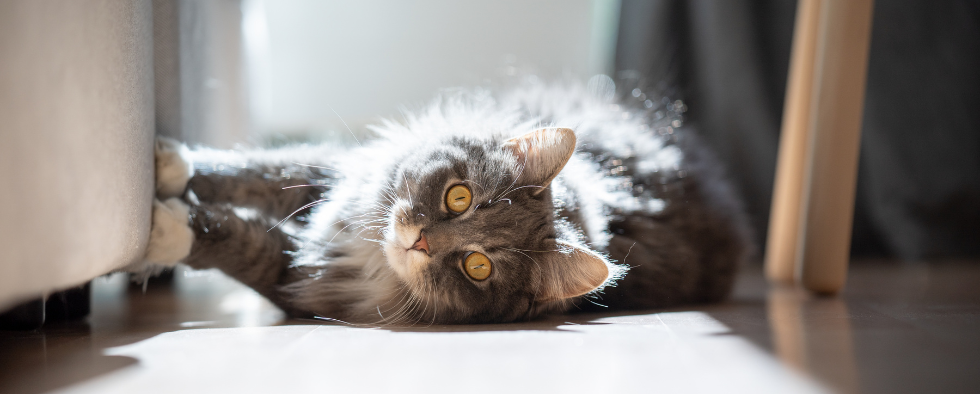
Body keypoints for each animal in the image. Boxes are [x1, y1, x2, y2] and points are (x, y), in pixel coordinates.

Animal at [142, 81, 752, 324]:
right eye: (459, 197)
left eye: (477, 267)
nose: (418, 241)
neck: (367, 254)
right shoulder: (334, 177)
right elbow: (255, 170)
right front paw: (167, 167)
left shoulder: (299, 281)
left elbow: (232, 240)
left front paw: (160, 229)